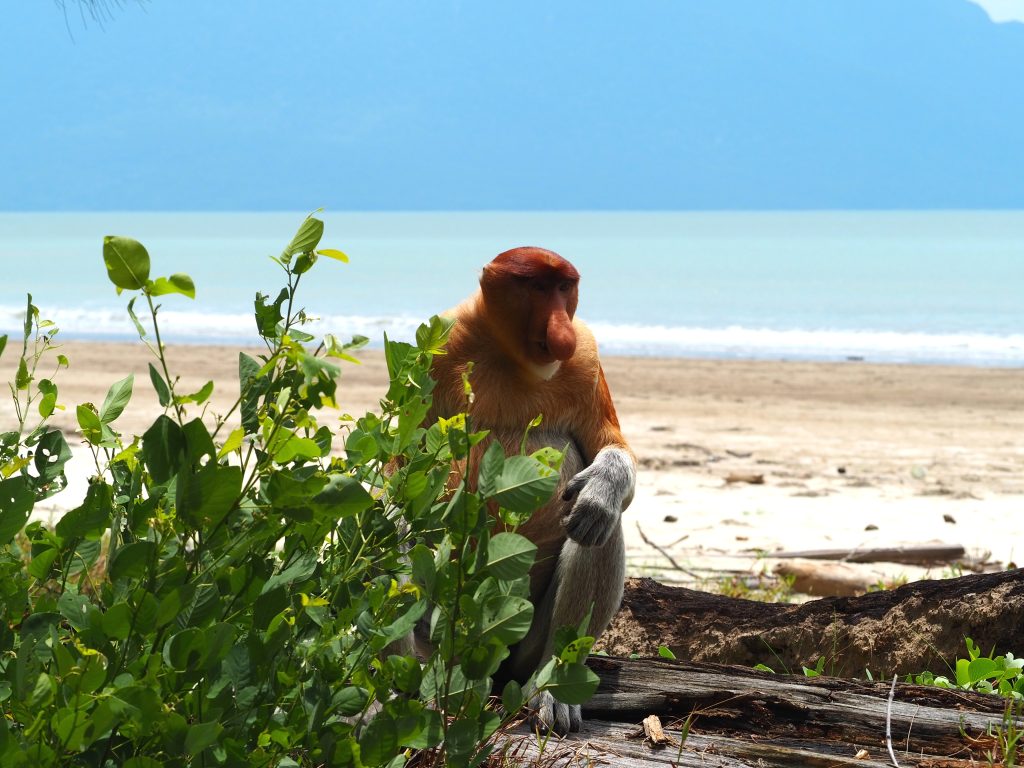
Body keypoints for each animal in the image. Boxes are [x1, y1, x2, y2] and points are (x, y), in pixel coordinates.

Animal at [427, 246, 636, 734]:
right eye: (538, 288)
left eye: (564, 287)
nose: (560, 333)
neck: (512, 358)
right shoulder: (438, 344)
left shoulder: (586, 356)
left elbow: (614, 450)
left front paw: (603, 487)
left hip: (524, 650)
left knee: (599, 527)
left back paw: (552, 688)